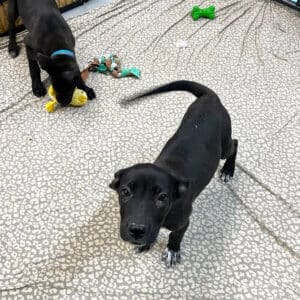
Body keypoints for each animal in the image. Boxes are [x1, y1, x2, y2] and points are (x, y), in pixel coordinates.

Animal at [109, 80, 238, 268]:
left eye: (162, 197)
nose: (136, 230)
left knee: (234, 144)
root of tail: (211, 97)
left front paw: (172, 250)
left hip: (224, 143)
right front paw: (146, 243)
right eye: (125, 192)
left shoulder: (183, 222)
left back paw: (228, 169)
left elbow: (175, 235)